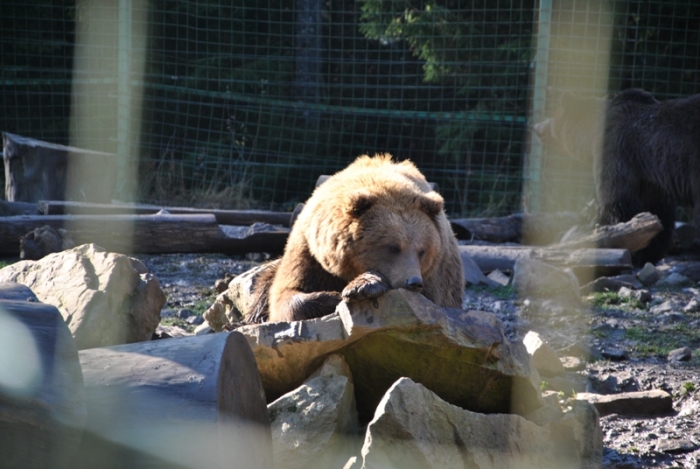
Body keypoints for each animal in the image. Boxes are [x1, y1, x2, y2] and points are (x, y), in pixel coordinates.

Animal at [250, 154, 464, 322]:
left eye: (422, 251)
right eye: (393, 247)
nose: (413, 282)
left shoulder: (435, 277)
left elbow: (430, 304)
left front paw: (362, 286)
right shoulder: (309, 252)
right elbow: (286, 295)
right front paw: (335, 297)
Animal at [532, 88, 700, 264]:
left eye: (554, 116)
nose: (537, 127)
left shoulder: (617, 151)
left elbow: (618, 200)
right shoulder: (650, 175)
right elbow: (658, 210)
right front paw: (650, 249)